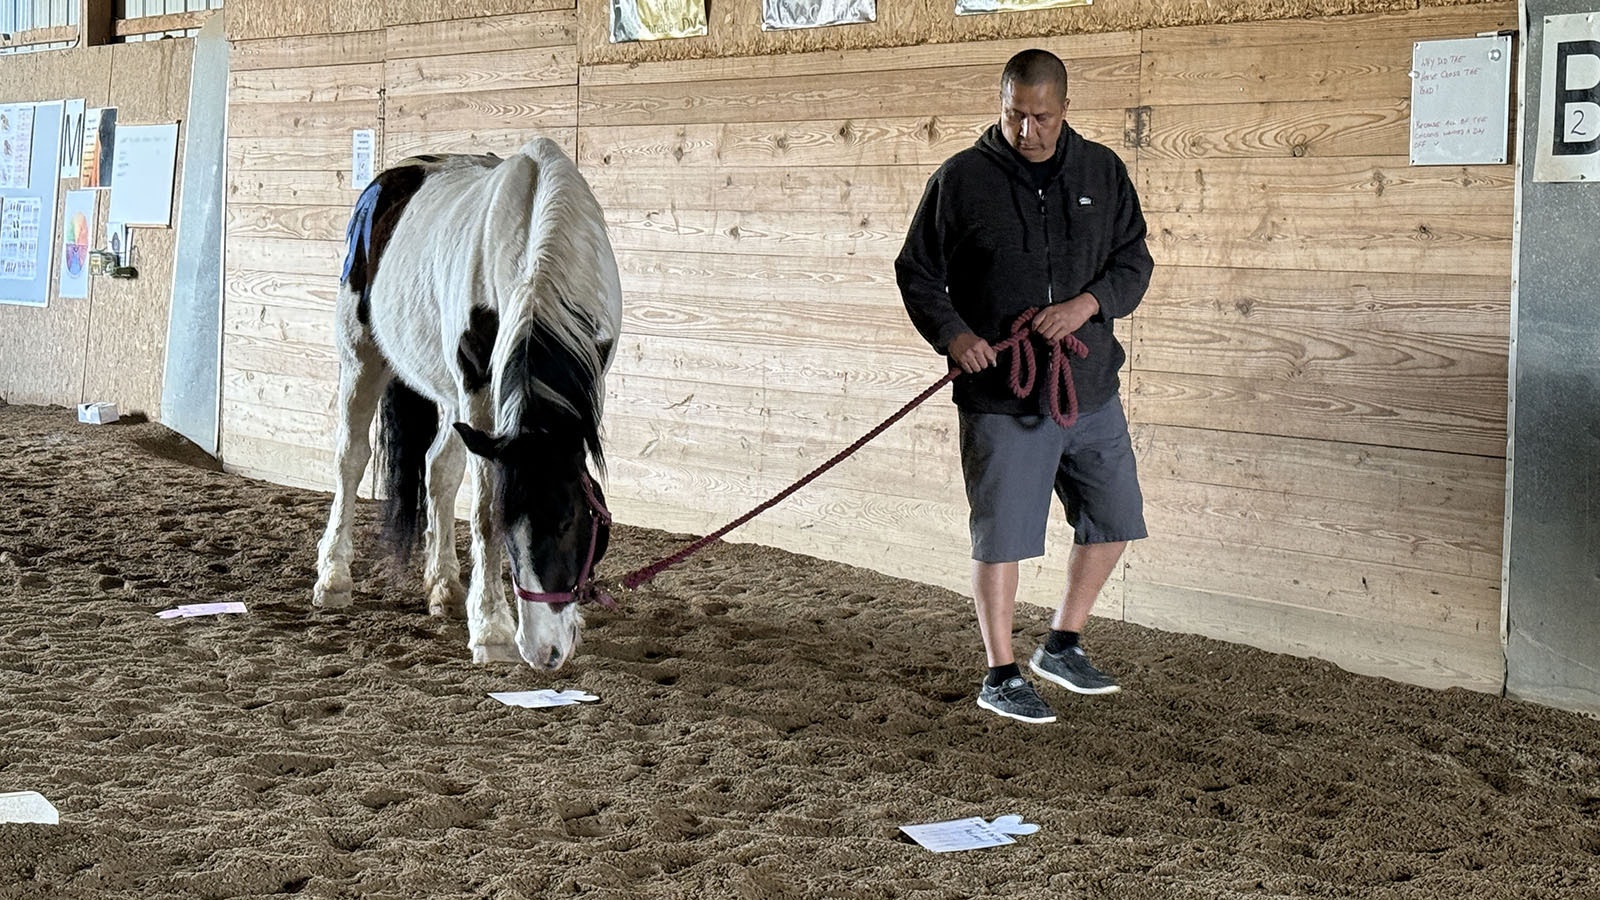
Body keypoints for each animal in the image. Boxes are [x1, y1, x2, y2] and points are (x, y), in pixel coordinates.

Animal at [311, 137, 622, 671]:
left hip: (449, 394)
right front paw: (492, 629)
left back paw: (444, 588)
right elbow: (482, 510)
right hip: (362, 356)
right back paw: (333, 577)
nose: (543, 652)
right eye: (510, 527)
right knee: (351, 460)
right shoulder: (478, 388)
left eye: (570, 522)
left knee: (438, 469)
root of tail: (388, 178)